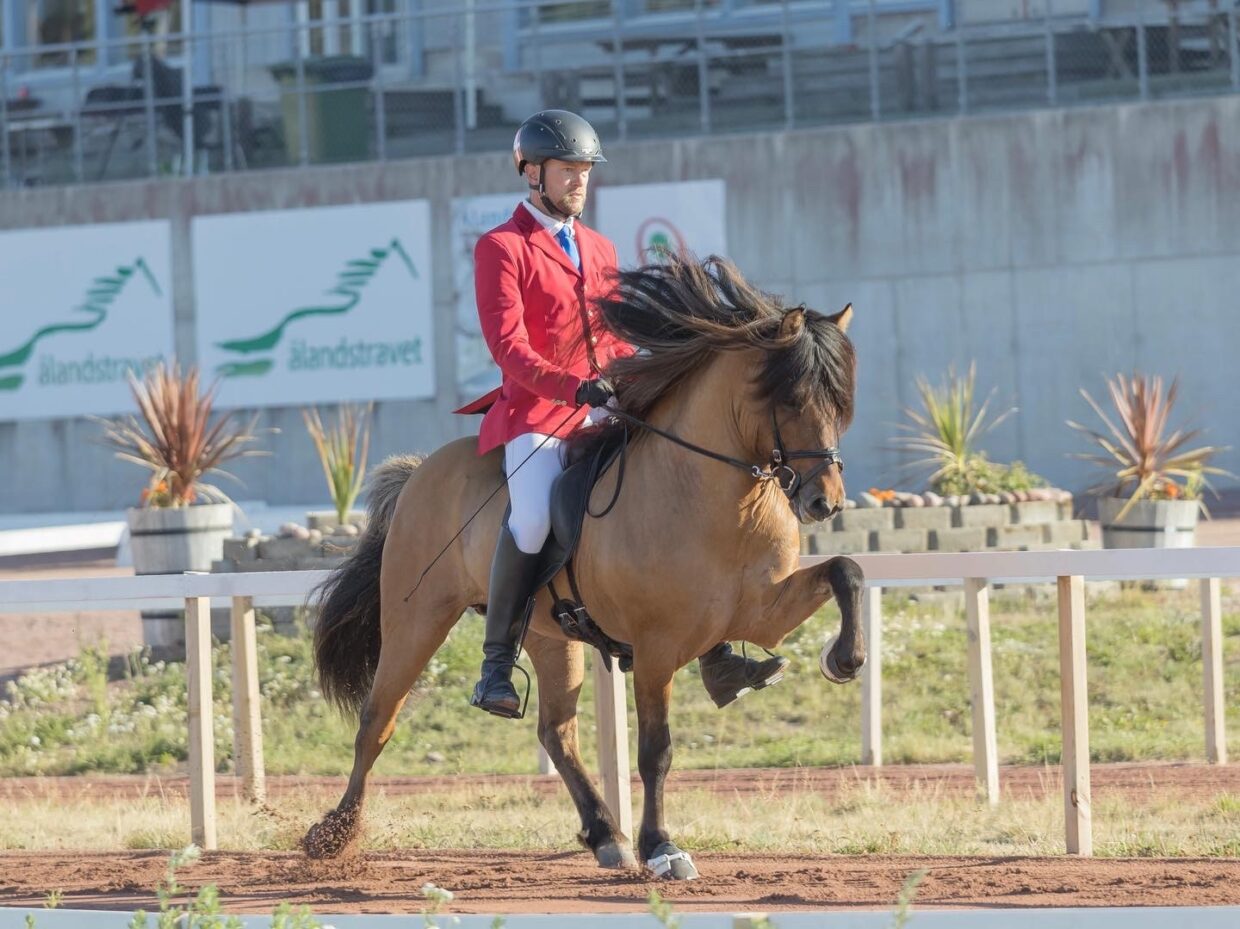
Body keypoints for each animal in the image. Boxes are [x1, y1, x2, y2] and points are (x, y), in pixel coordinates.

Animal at [301, 251, 868, 878]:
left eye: (840, 402)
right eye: (791, 399)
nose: (825, 502)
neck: (714, 492)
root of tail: (421, 469)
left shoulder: (763, 612)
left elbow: (846, 570)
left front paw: (844, 657)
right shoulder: (655, 648)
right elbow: (656, 751)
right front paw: (662, 847)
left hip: (549, 635)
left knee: (556, 731)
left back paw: (605, 834)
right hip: (416, 619)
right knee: (377, 721)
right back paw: (334, 833)